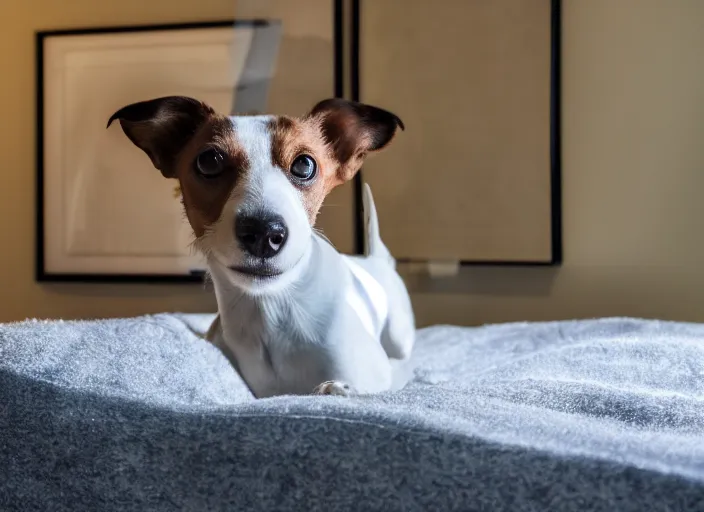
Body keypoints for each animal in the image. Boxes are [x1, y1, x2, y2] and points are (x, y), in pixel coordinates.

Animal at [108, 96, 416, 400]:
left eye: (304, 165)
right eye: (209, 161)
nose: (263, 233)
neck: (270, 313)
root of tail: (376, 258)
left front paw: (337, 388)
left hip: (398, 336)